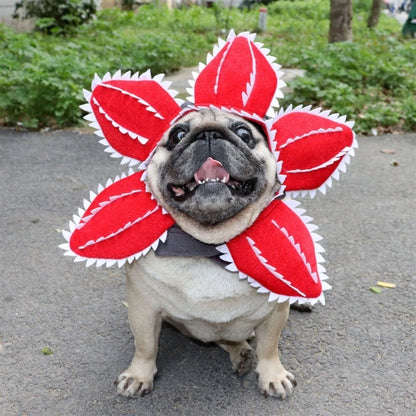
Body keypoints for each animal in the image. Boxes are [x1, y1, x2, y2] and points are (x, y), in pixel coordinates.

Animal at [114, 108, 296, 400]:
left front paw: (273, 376)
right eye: (178, 135)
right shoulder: (143, 309)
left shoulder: (276, 311)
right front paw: (138, 375)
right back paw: (241, 352)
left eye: (244, 133)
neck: (209, 243)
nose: (209, 133)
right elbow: (145, 346)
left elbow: (270, 346)